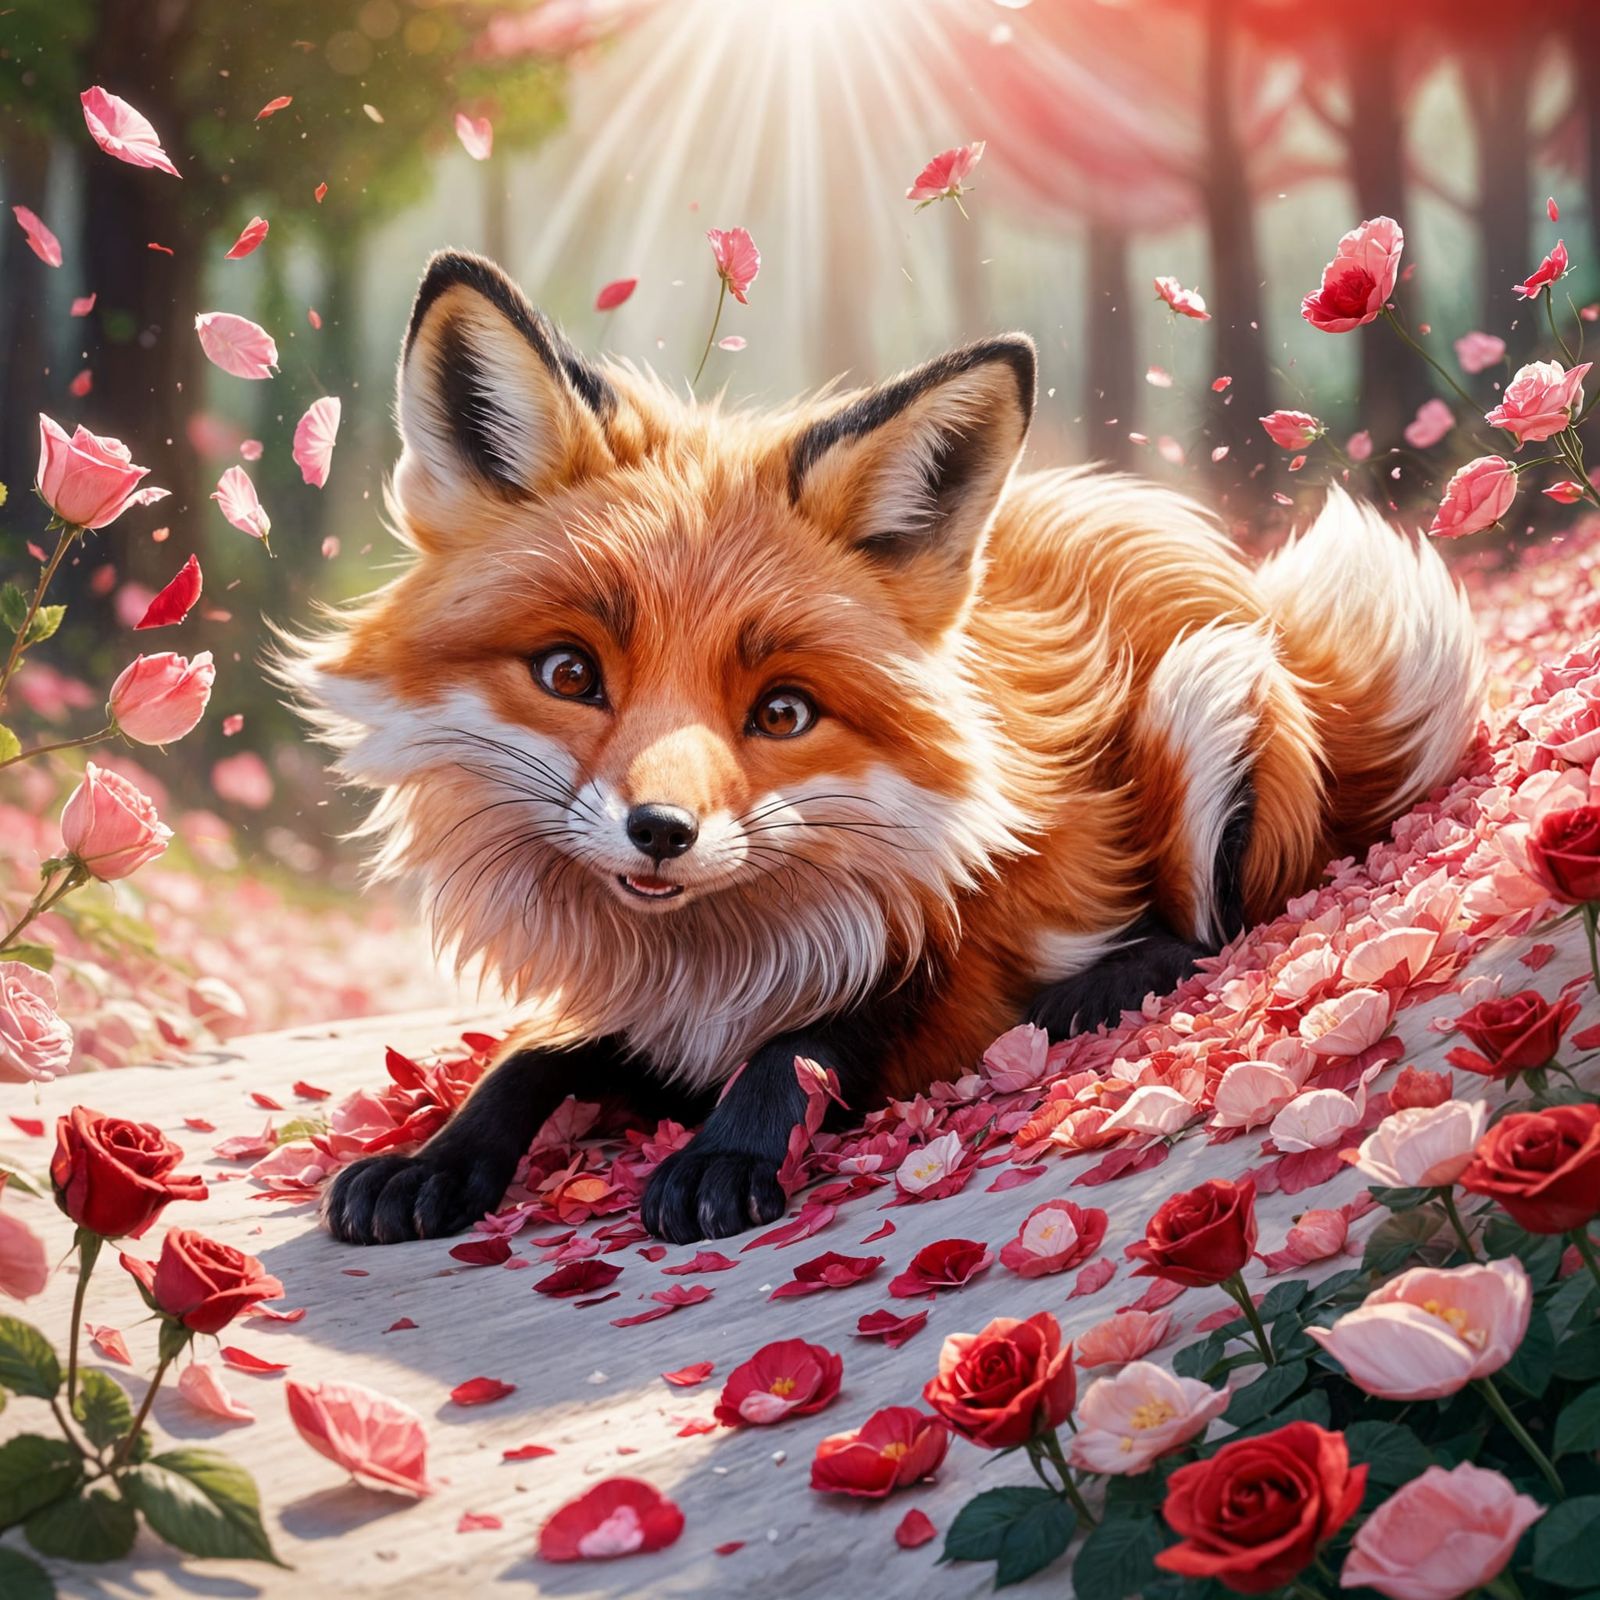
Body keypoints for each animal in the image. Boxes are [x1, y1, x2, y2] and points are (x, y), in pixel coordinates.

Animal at [285, 250, 1485, 1247]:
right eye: (570, 675)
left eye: (782, 712)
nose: (661, 832)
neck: (712, 955)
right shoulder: (644, 1013)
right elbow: (528, 1060)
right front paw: (434, 1162)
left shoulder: (950, 987)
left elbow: (804, 1044)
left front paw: (723, 1154)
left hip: (1206, 689)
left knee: (1223, 926)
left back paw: (1106, 984)